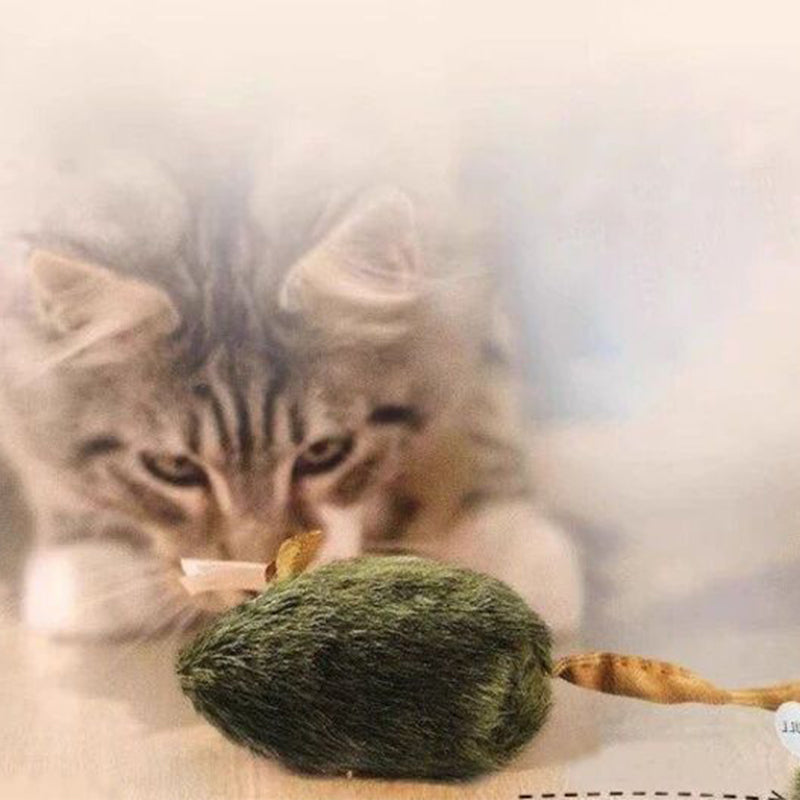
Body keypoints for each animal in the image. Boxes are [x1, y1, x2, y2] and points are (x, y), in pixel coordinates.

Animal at [0, 141, 583, 641]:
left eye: (325, 453)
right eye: (173, 468)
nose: (258, 583)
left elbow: (484, 384)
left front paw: (505, 538)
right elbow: (43, 451)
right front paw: (92, 561)